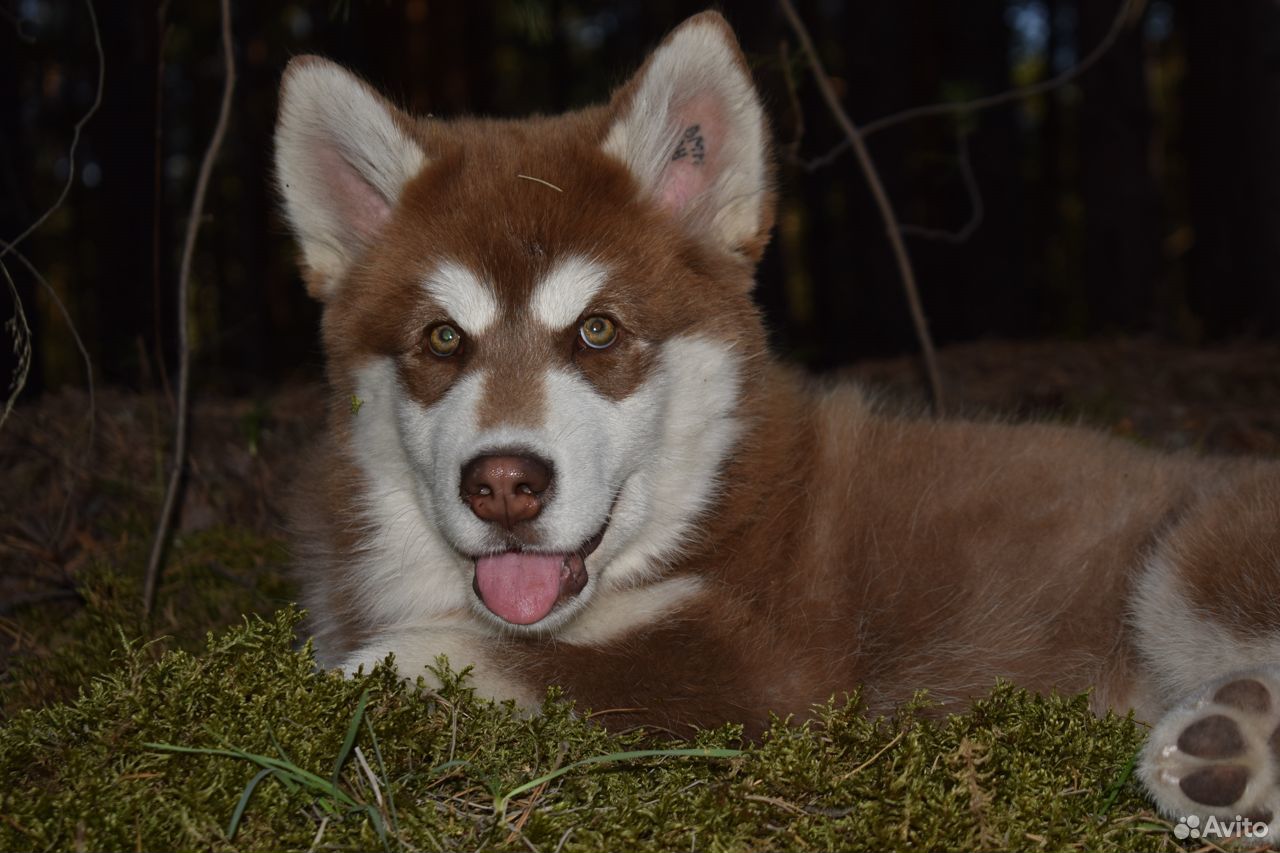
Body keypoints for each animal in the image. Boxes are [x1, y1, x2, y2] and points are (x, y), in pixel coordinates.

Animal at [275, 11, 1280, 835]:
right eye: (443, 338)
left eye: (598, 329)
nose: (504, 485)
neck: (711, 505)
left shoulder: (771, 672)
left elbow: (450, 660)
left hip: (1189, 558)